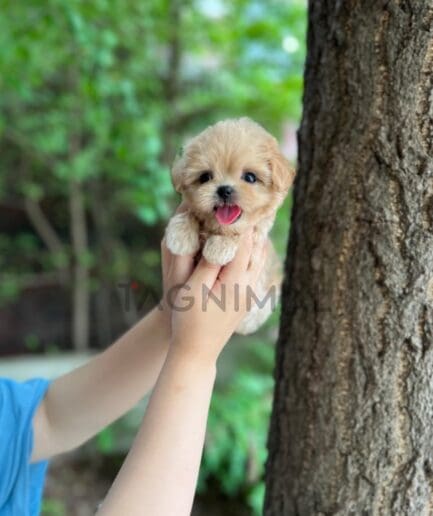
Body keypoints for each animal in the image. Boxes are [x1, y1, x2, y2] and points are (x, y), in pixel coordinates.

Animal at [165, 117, 294, 334]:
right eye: (205, 177)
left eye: (250, 177)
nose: (224, 190)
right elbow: (190, 213)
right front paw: (180, 235)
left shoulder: (255, 242)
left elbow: (243, 233)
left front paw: (219, 247)